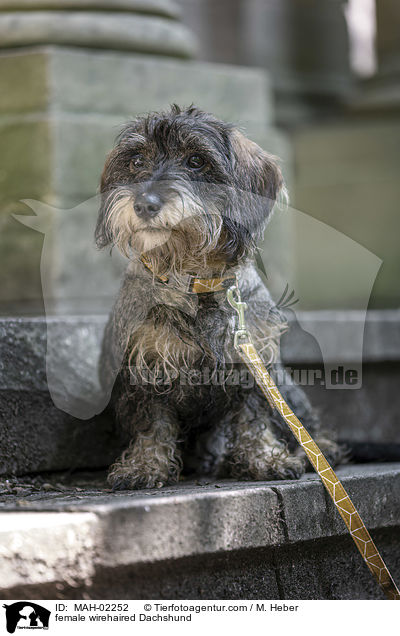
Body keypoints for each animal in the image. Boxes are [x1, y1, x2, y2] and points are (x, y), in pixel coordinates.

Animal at [94, 107, 340, 490]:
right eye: (136, 160)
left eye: (196, 160)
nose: (144, 204)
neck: (195, 282)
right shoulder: (145, 364)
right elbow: (151, 422)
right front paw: (144, 466)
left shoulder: (253, 366)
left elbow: (254, 417)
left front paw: (265, 459)